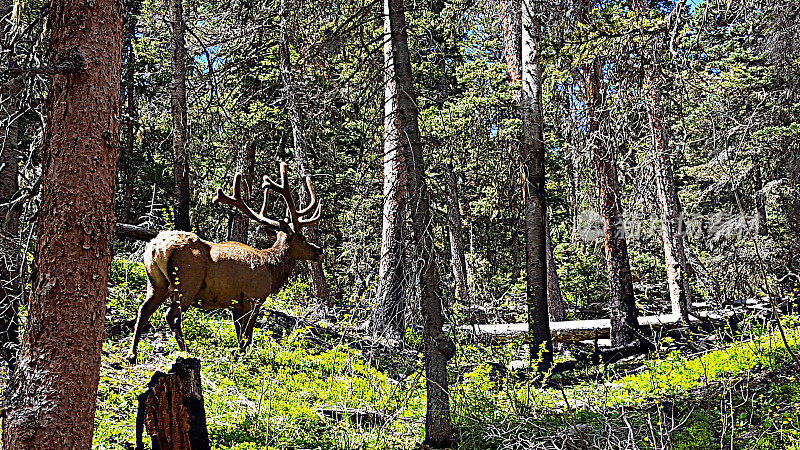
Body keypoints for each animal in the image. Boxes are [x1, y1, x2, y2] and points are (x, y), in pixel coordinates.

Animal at [125, 163, 322, 364]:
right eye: (302, 237)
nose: (318, 250)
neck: (271, 270)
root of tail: (155, 247)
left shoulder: (235, 303)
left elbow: (239, 333)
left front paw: (238, 354)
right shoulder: (254, 298)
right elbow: (247, 335)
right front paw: (243, 358)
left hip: (155, 282)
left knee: (143, 310)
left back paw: (132, 354)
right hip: (187, 283)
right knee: (172, 316)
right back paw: (186, 351)